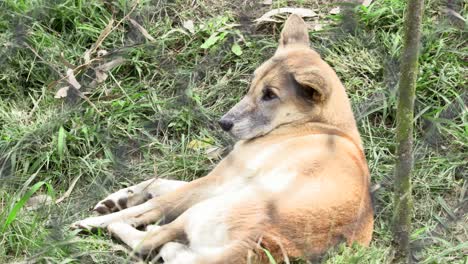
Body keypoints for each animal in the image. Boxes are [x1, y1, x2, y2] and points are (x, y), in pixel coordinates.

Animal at [72, 14, 372, 264]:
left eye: (270, 95)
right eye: (251, 85)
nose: (223, 123)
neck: (320, 124)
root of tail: (257, 243)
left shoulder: (218, 180)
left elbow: (156, 200)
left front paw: (108, 216)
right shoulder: (219, 179)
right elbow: (158, 182)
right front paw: (119, 198)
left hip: (206, 207)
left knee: (148, 241)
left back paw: (110, 225)